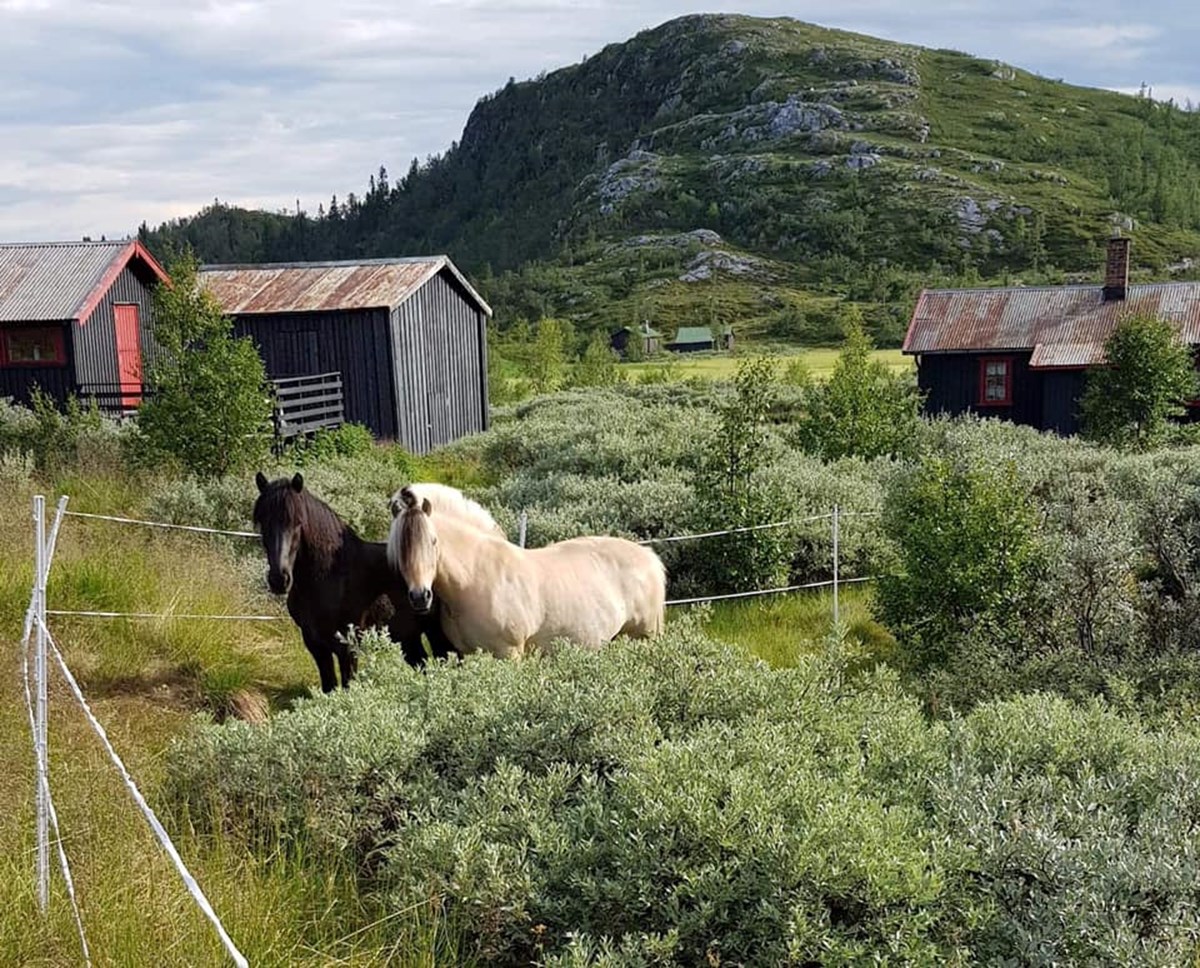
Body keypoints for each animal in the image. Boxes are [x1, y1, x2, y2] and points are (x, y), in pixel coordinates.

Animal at [254, 472, 458, 690]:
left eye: (298, 522)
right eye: (262, 522)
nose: (279, 579)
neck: (329, 577)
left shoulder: (347, 648)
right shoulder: (316, 646)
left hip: (437, 633)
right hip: (409, 638)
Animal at [386, 484, 667, 657]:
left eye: (433, 542)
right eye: (401, 547)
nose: (420, 597)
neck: (477, 578)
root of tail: (649, 557)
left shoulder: (509, 653)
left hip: (646, 636)